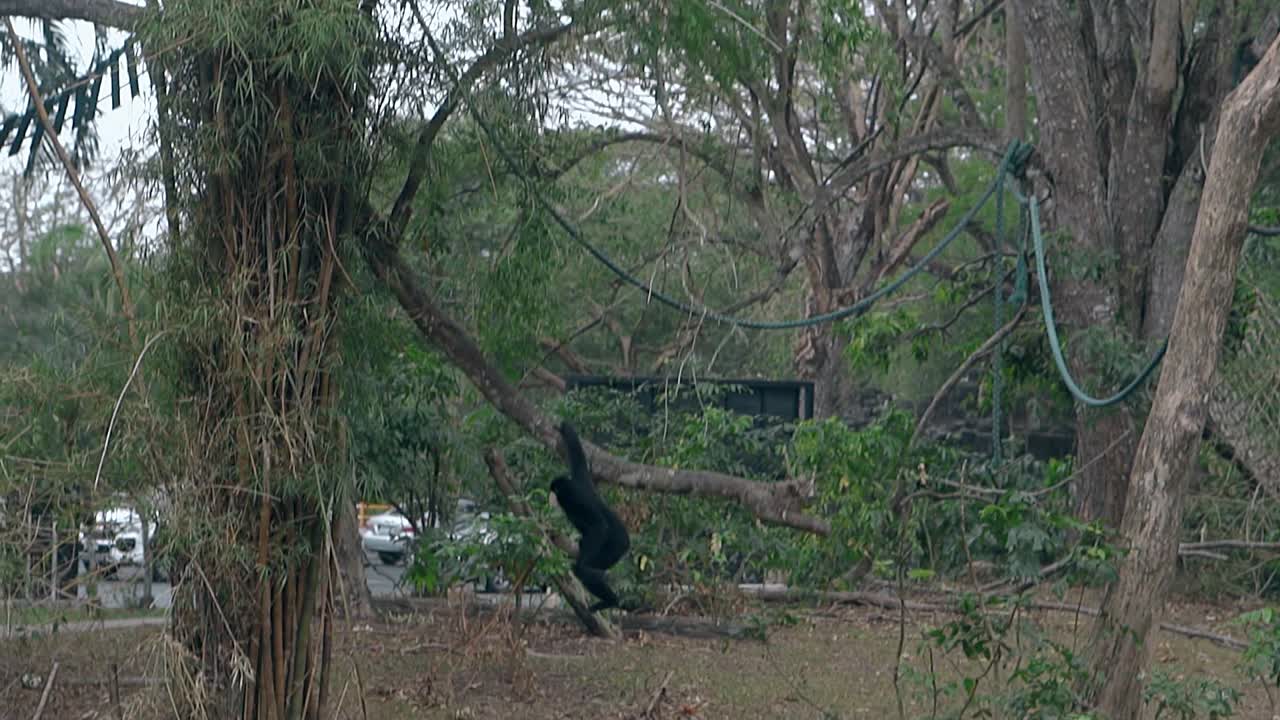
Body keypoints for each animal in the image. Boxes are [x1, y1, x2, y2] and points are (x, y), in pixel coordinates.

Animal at [550, 421, 630, 612]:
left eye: (554, 490)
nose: (551, 497)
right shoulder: (581, 479)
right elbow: (577, 454)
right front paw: (563, 427)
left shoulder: (574, 497)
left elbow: (599, 525)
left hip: (615, 548)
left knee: (585, 570)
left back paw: (611, 601)